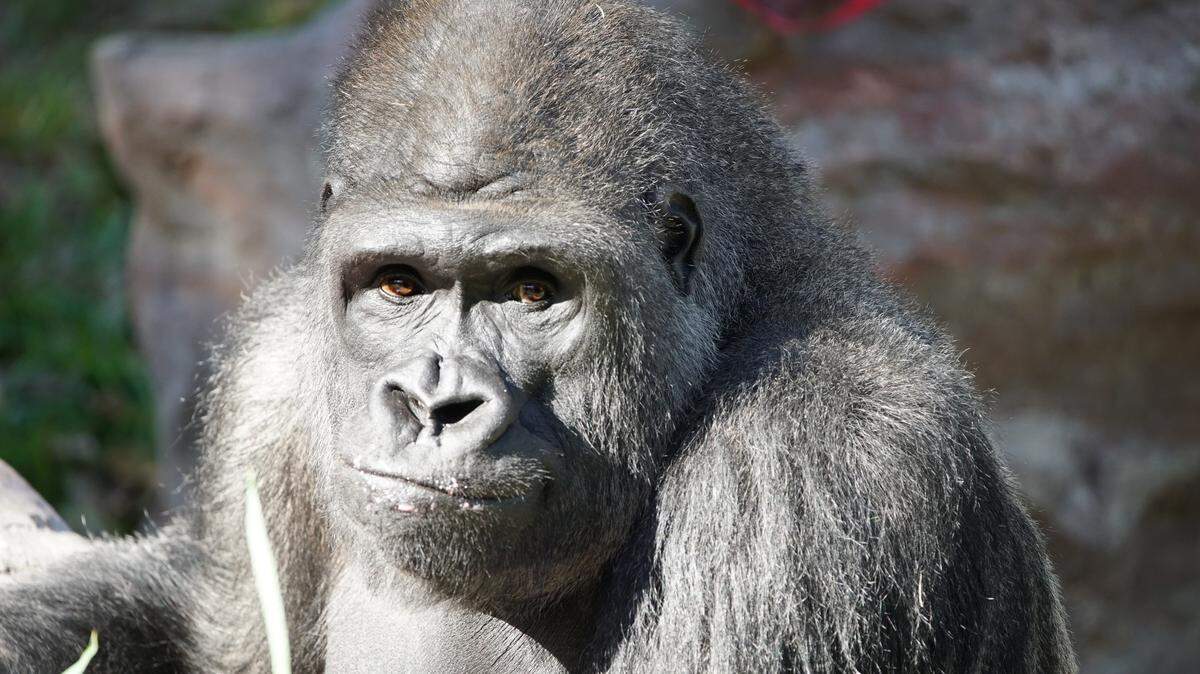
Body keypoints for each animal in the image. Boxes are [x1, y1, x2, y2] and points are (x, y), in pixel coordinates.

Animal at [0, 0, 1075, 671]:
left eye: (531, 290)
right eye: (397, 284)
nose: (435, 403)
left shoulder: (814, 461)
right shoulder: (273, 366)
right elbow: (211, 634)